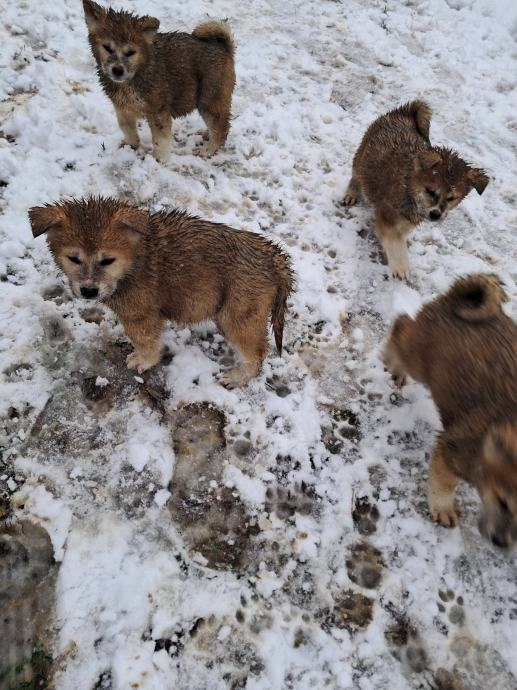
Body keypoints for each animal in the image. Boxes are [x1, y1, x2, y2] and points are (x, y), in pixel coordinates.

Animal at [29, 197, 294, 388]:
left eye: (107, 261)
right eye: (74, 259)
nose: (88, 291)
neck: (134, 260)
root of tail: (276, 259)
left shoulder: (141, 315)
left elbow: (146, 342)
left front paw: (143, 361)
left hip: (237, 315)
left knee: (258, 351)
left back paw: (237, 377)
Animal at [82, 0, 235, 161]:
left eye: (130, 52)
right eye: (107, 47)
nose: (117, 71)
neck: (138, 71)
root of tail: (223, 46)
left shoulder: (158, 112)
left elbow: (160, 140)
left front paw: (159, 159)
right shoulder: (122, 108)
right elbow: (127, 129)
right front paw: (132, 146)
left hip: (209, 99)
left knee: (221, 128)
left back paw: (208, 150)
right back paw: (206, 134)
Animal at [344, 101, 489, 279]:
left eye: (451, 198)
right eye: (430, 191)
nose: (435, 215)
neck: (408, 187)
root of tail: (406, 110)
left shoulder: (408, 221)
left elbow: (401, 233)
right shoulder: (387, 216)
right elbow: (395, 242)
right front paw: (401, 267)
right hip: (362, 157)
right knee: (356, 177)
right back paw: (352, 193)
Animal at [384, 274, 517, 548]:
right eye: (503, 502)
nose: (501, 543)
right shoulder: (452, 449)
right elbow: (442, 486)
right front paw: (444, 510)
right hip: (418, 356)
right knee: (401, 325)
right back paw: (393, 364)